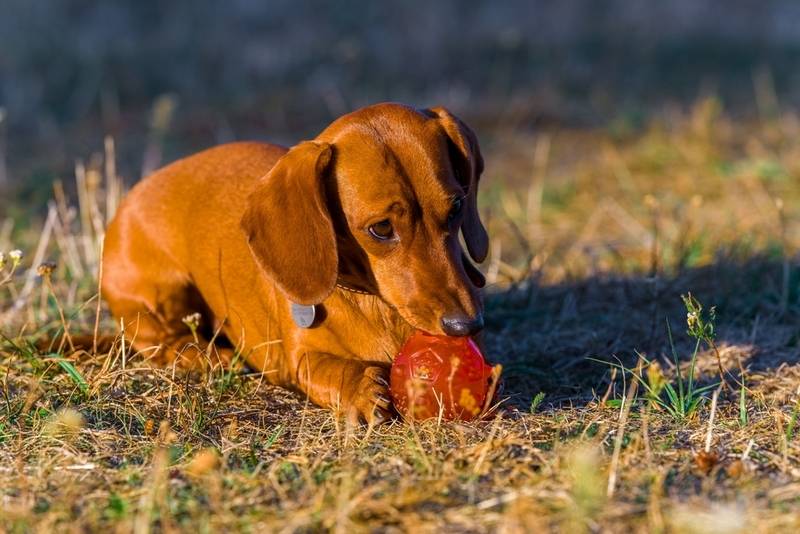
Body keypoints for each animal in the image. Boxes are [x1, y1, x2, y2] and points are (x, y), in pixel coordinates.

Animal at [101, 102, 488, 426]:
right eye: (381, 228)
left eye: (456, 207)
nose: (466, 325)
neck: (373, 303)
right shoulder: (299, 358)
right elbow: (322, 368)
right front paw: (361, 387)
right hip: (162, 294)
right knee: (157, 340)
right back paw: (204, 355)